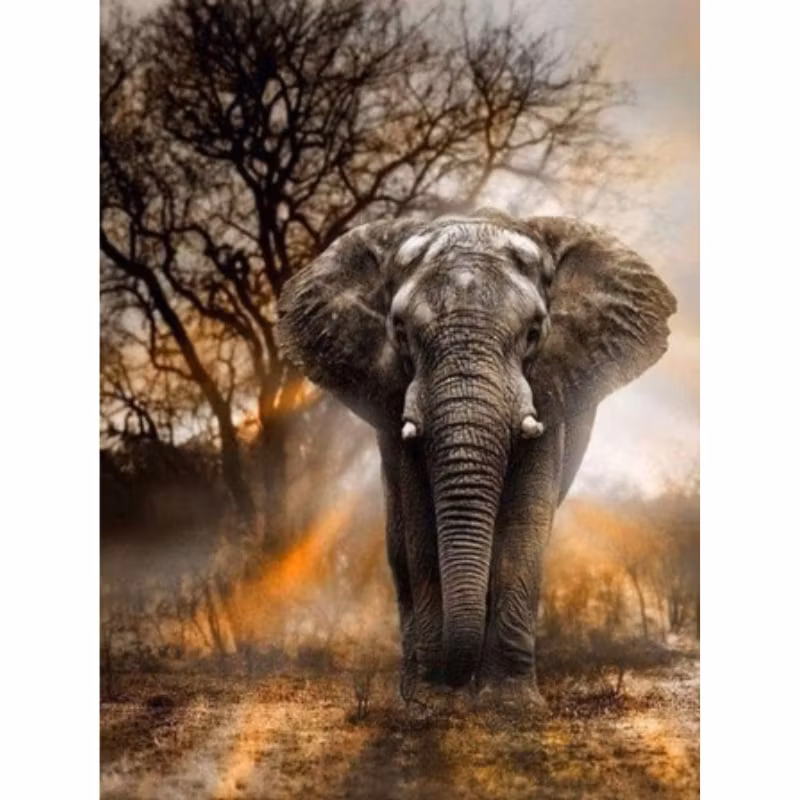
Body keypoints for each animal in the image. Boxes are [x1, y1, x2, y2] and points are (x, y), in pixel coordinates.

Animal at [277, 208, 676, 703]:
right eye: (400, 333)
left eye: (533, 333)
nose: (453, 681)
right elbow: (421, 524)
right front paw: (432, 703)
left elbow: (524, 520)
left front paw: (510, 705)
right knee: (398, 544)